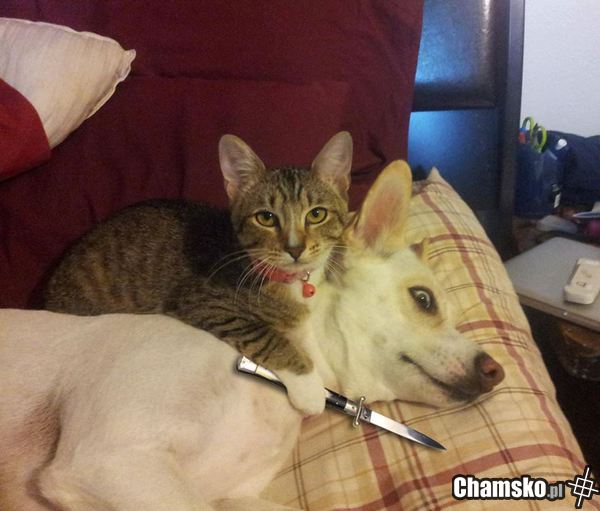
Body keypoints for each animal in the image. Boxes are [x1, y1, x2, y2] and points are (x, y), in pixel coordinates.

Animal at [44, 132, 353, 414]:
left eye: (316, 214)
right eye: (266, 217)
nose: (295, 248)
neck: (284, 279)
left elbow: (304, 330)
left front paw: (324, 370)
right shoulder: (203, 302)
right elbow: (266, 336)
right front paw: (310, 387)